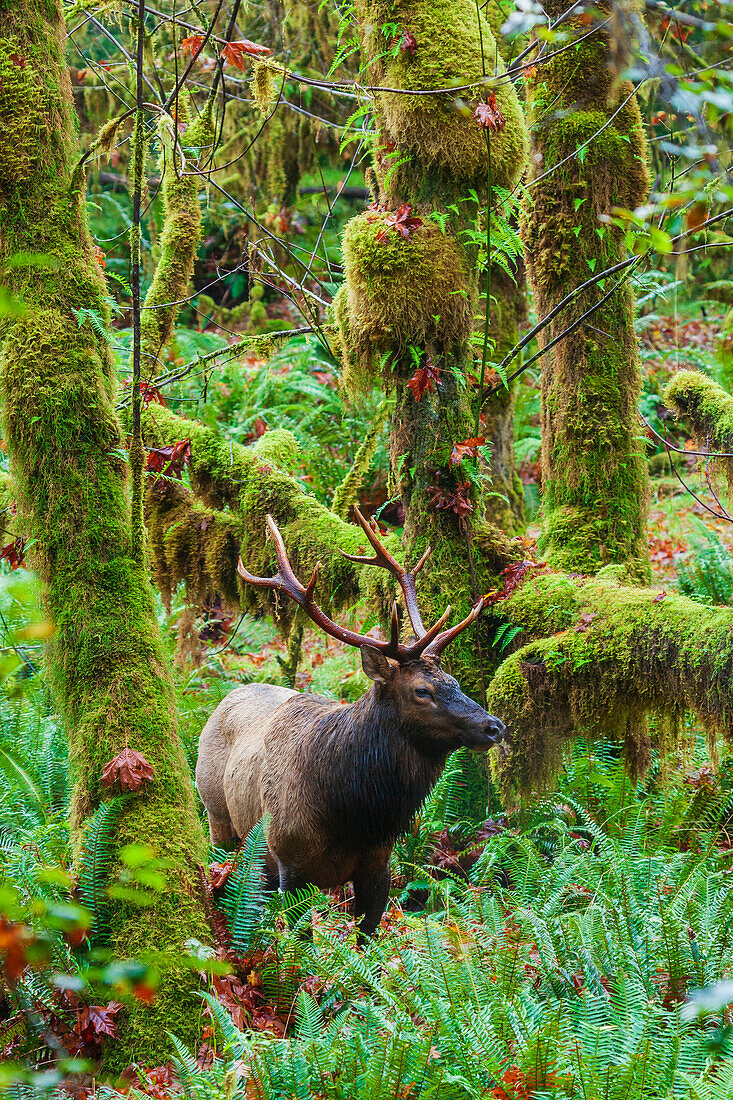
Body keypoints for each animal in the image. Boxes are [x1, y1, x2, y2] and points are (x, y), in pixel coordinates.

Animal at [193, 506, 501, 937]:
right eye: (422, 691)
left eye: (454, 681)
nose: (494, 726)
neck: (351, 815)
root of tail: (225, 698)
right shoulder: (288, 860)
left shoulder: (378, 865)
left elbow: (367, 938)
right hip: (217, 813)